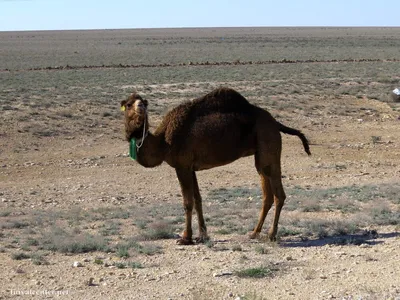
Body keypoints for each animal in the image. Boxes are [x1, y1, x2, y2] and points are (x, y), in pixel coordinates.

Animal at [120, 87, 310, 246]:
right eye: (129, 104)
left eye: (143, 102)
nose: (141, 107)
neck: (163, 142)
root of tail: (275, 122)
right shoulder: (190, 167)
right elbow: (198, 200)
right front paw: (202, 235)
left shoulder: (182, 166)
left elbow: (187, 202)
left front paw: (185, 238)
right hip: (261, 155)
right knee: (267, 195)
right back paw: (254, 233)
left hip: (268, 143)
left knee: (279, 195)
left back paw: (271, 235)